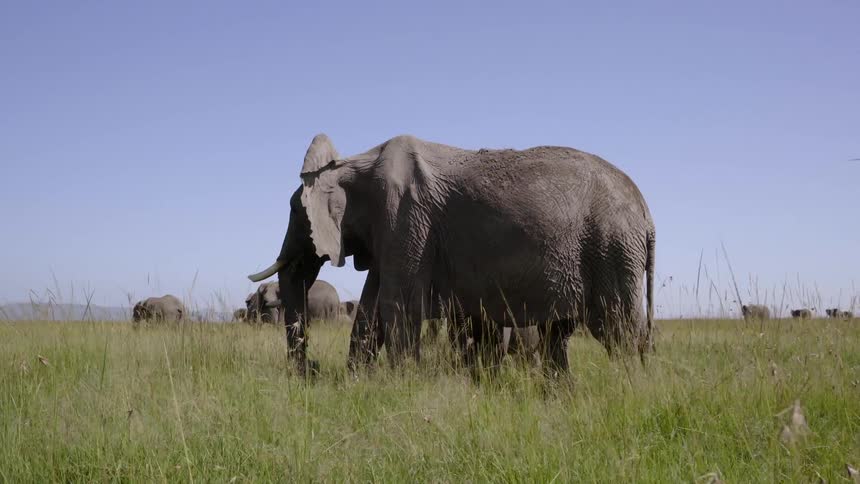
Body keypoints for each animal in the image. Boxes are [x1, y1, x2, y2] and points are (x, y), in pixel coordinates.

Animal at [248, 134, 655, 375]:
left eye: (296, 211)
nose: (313, 367)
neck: (353, 164)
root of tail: (647, 215)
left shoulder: (404, 217)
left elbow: (396, 305)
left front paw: (401, 383)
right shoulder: (393, 231)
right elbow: (371, 309)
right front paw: (358, 381)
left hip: (612, 249)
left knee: (618, 331)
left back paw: (626, 389)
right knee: (561, 334)